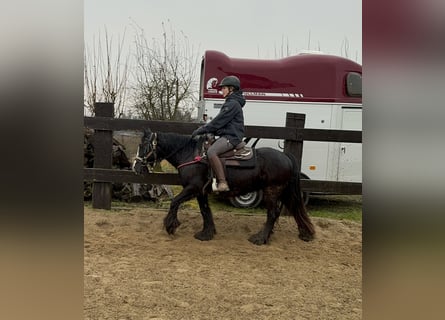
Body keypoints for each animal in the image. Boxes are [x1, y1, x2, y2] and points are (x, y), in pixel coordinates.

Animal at [130, 128, 314, 245]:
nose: (135, 167)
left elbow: (174, 202)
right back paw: (304, 233)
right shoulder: (201, 192)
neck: (191, 155)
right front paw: (206, 234)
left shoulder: (192, 188)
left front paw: (170, 226)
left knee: (273, 214)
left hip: (272, 191)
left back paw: (260, 238)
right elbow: (205, 211)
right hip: (283, 191)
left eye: (144, 146)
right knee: (293, 209)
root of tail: (286, 156)